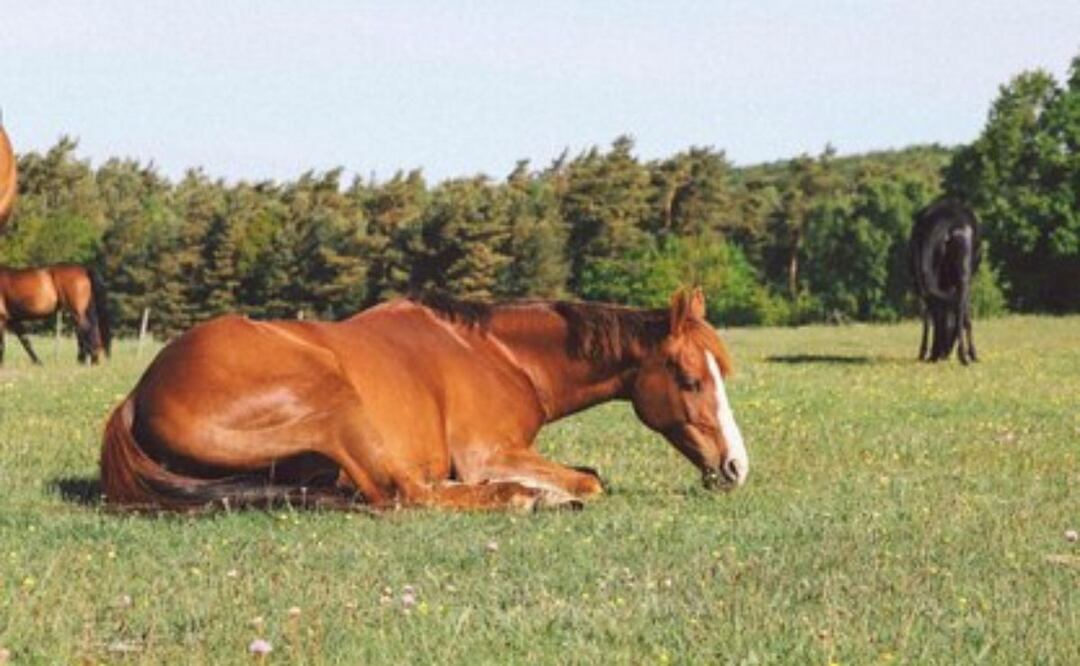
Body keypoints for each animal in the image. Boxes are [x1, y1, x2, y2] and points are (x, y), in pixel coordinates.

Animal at [100, 287, 749, 512]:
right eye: (690, 379)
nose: (735, 467)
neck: (499, 354)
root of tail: (137, 396)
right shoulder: (489, 453)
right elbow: (589, 480)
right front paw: (544, 490)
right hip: (334, 402)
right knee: (404, 493)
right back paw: (525, 498)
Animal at [910, 197, 981, 364]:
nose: (944, 353)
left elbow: (931, 316)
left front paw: (929, 352)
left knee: (934, 309)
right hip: (963, 273)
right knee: (960, 307)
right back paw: (963, 355)